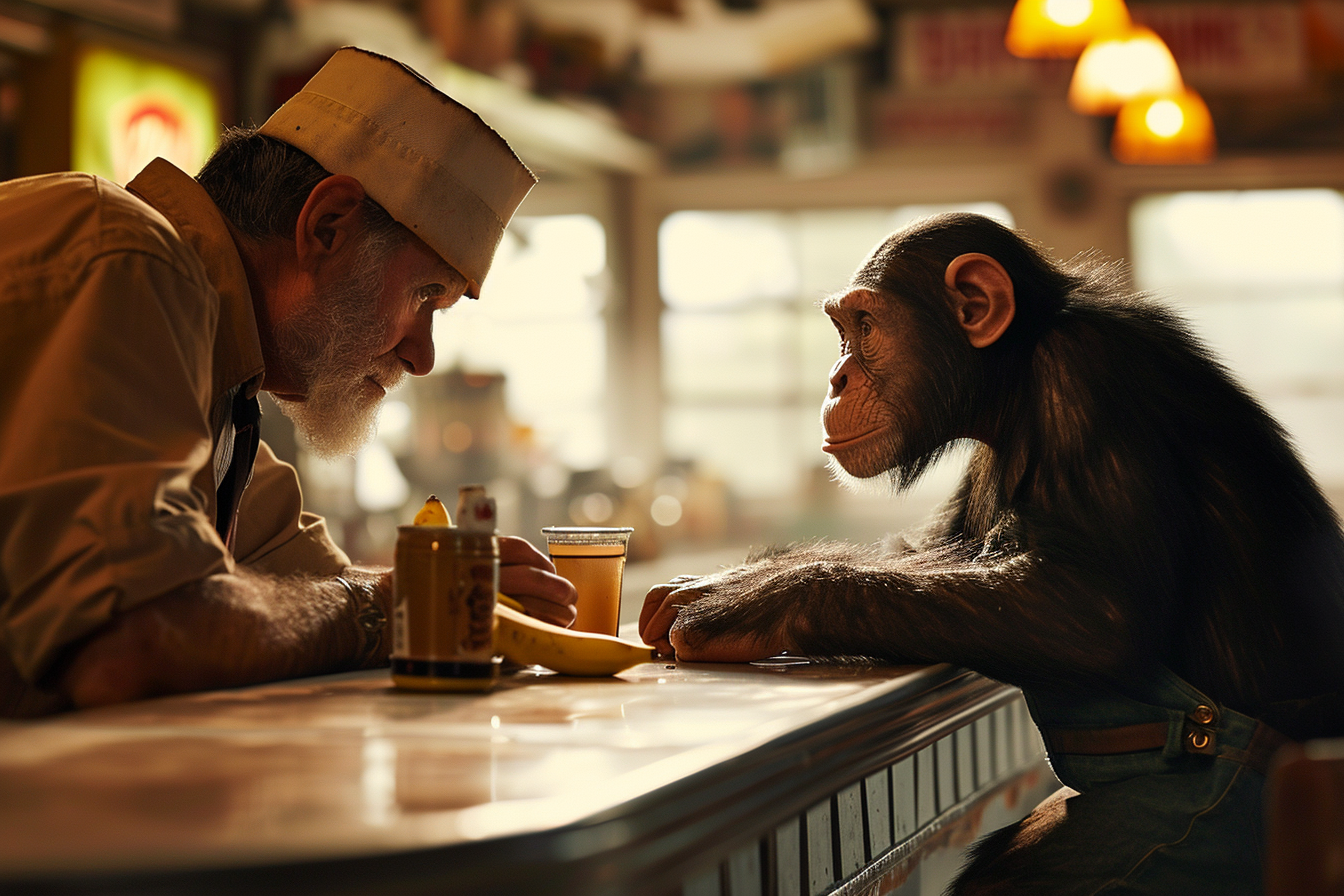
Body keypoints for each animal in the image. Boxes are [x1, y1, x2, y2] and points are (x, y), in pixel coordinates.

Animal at [637, 213, 1344, 891]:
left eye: (864, 326)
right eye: (843, 331)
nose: (836, 379)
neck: (1013, 375)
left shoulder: (1083, 379)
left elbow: (1093, 609)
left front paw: (748, 601)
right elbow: (919, 547)